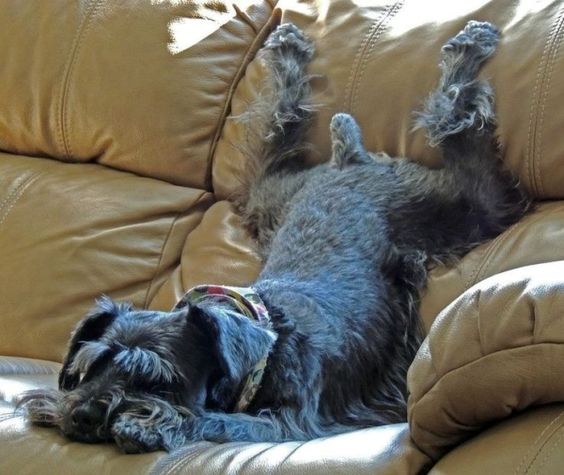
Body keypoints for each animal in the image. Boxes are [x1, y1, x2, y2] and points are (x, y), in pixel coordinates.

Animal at [17, 21, 528, 454]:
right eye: (90, 366)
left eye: (156, 379)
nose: (83, 415)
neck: (266, 341)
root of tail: (349, 161)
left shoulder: (286, 424)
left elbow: (213, 419)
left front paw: (151, 423)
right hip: (266, 199)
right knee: (281, 121)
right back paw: (287, 50)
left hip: (464, 206)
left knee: (459, 128)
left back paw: (467, 49)